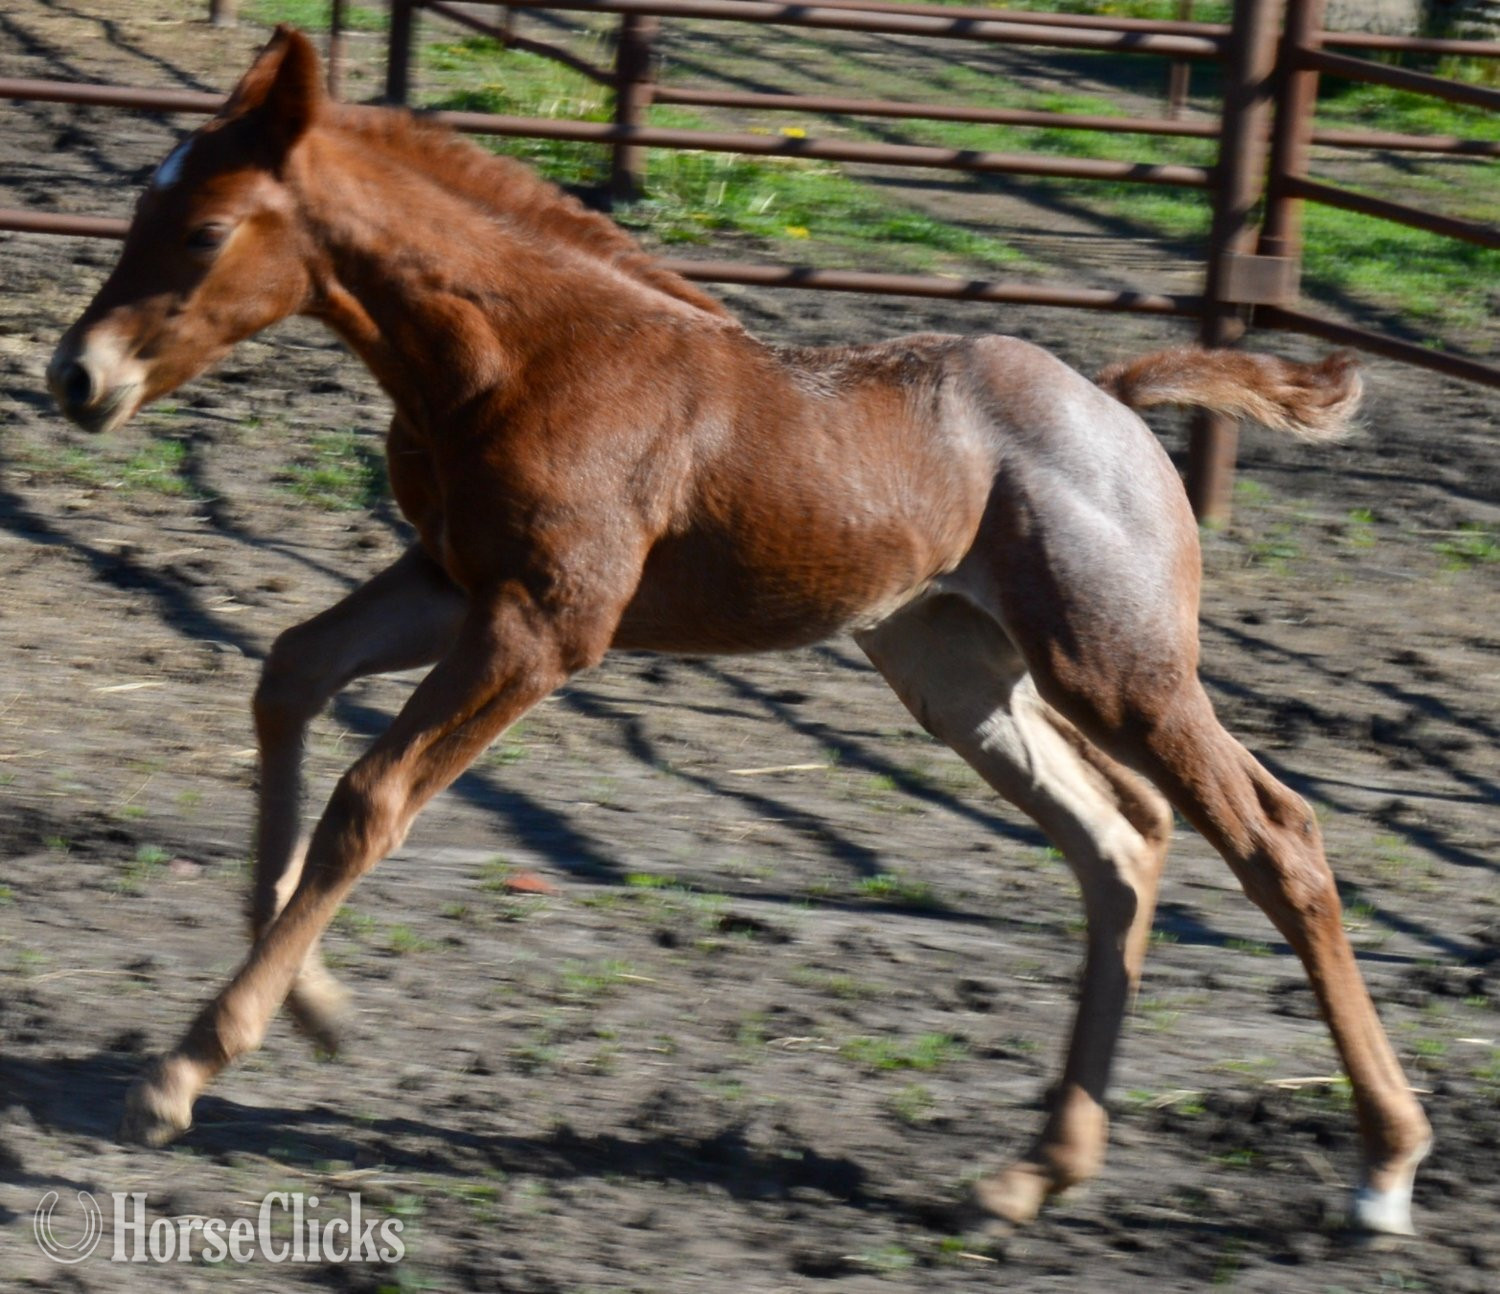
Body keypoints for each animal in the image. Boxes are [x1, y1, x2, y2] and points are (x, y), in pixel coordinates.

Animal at [47, 27, 1429, 1234]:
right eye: (137, 211)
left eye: (204, 229)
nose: (76, 378)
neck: (521, 357)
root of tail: (1118, 404)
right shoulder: (448, 580)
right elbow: (288, 675)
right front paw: (318, 1007)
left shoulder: (546, 625)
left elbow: (371, 797)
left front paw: (188, 1067)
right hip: (955, 669)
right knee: (1118, 840)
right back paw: (1039, 1170)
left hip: (1121, 665)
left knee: (1276, 837)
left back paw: (1385, 1166)